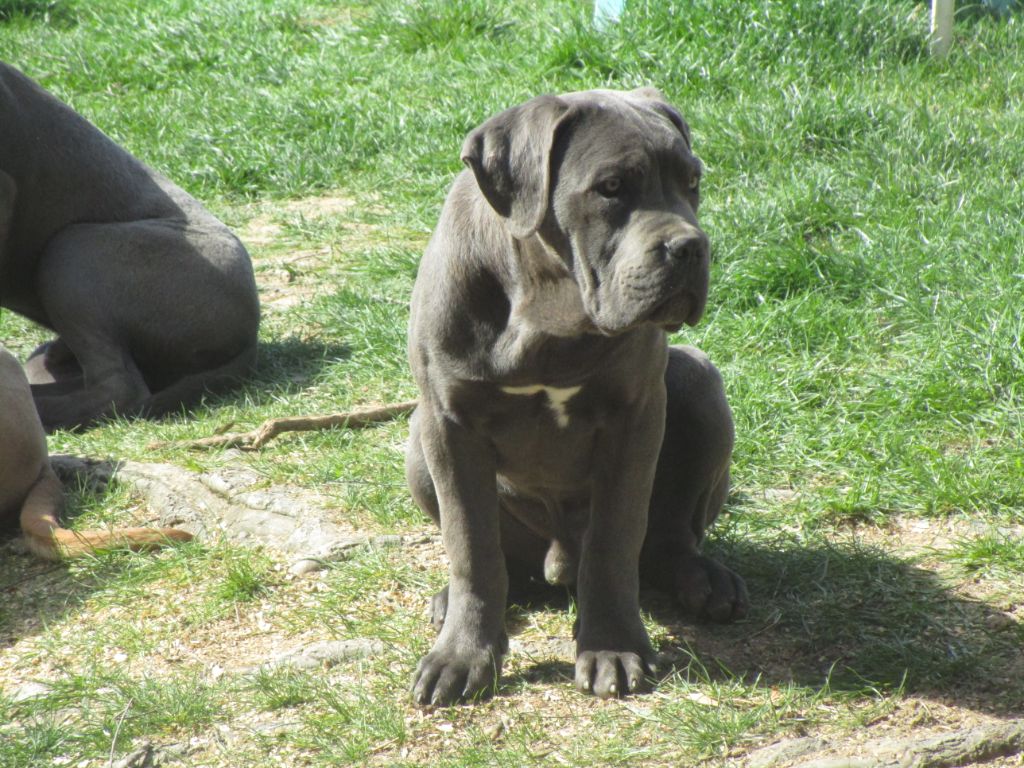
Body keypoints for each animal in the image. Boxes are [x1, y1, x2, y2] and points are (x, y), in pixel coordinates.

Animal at [403, 87, 749, 708]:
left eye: (692, 181)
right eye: (610, 187)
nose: (691, 247)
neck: (550, 302)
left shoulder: (635, 417)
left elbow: (614, 540)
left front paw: (612, 648)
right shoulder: (448, 422)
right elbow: (471, 545)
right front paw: (461, 656)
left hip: (700, 385)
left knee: (669, 538)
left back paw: (706, 581)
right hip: (418, 438)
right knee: (502, 564)